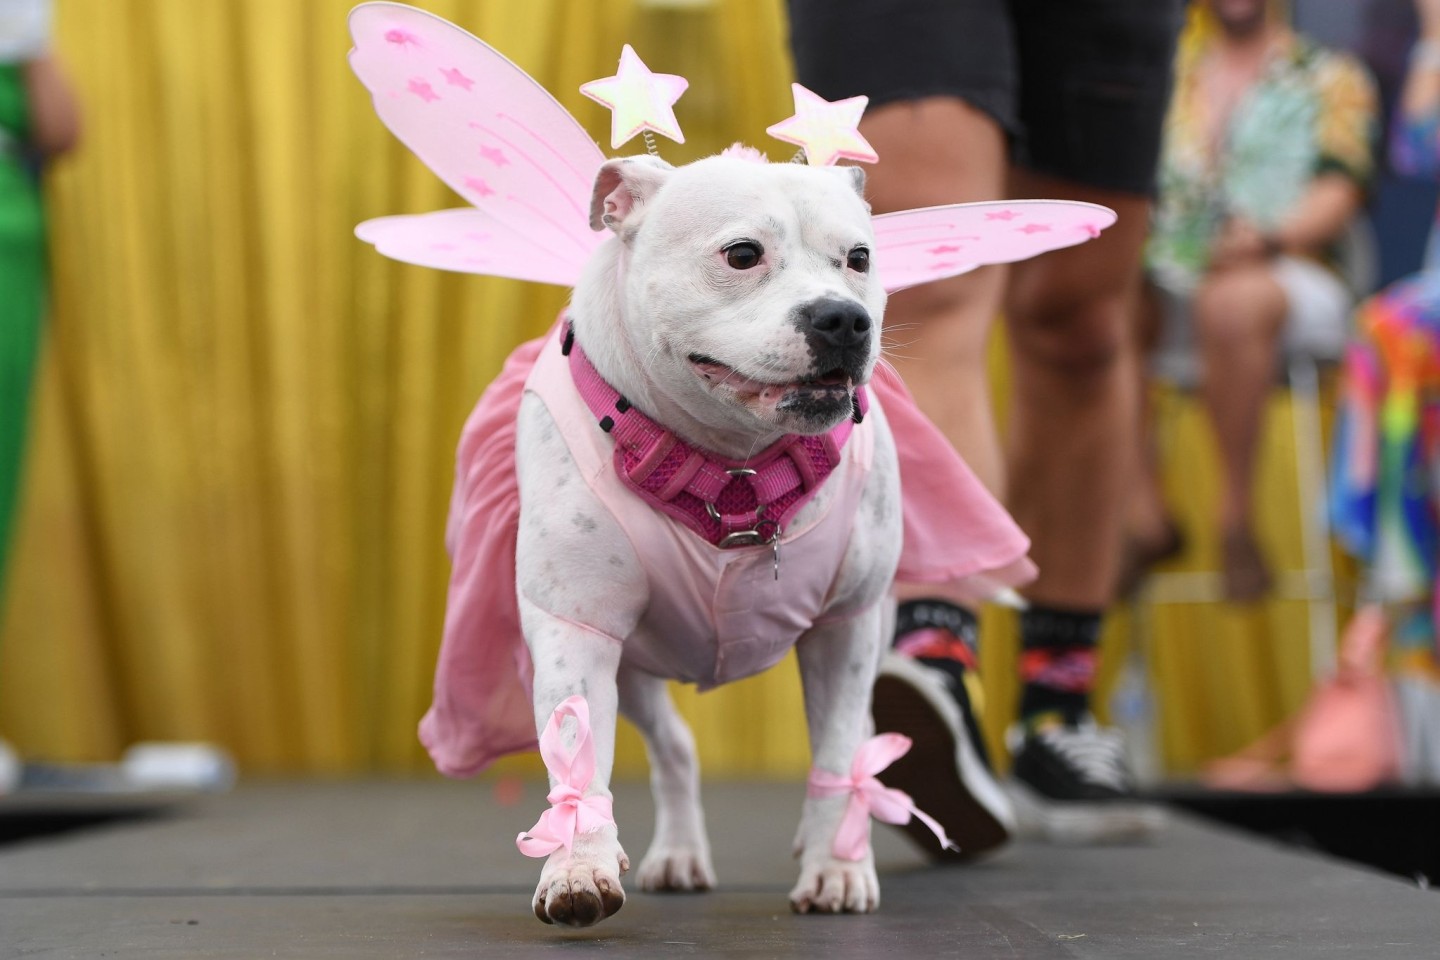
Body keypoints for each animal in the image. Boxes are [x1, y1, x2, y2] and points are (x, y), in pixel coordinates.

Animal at [518, 154, 898, 926]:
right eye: (743, 255)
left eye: (859, 259)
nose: (844, 317)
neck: (733, 467)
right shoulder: (577, 629)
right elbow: (576, 759)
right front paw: (577, 866)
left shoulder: (845, 628)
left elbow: (836, 750)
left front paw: (836, 865)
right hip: (635, 669)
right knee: (675, 751)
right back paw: (679, 854)